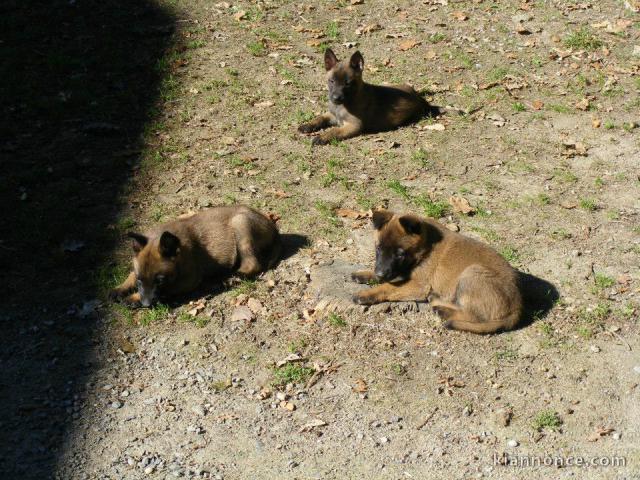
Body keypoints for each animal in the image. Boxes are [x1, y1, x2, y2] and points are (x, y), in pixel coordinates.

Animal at [110, 204, 280, 306]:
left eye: (160, 280)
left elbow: (166, 289)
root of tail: (273, 228)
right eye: (140, 280)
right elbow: (131, 275)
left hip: (240, 223)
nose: (146, 304)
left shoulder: (189, 280)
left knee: (253, 264)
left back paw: (233, 277)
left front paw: (133, 298)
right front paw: (120, 289)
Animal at [298, 49, 438, 147]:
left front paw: (322, 137)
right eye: (331, 81)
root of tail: (418, 96)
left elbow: (335, 131)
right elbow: (320, 117)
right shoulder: (332, 115)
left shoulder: (353, 125)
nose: (336, 98)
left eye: (348, 83)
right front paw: (307, 125)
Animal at [352, 210, 524, 334]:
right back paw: (437, 300)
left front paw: (366, 294)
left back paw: (443, 310)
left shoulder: (418, 285)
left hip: (472, 272)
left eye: (400, 254)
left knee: (475, 316)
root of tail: (517, 307)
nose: (380, 273)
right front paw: (365, 274)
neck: (426, 247)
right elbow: (388, 279)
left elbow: (389, 287)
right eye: (378, 248)